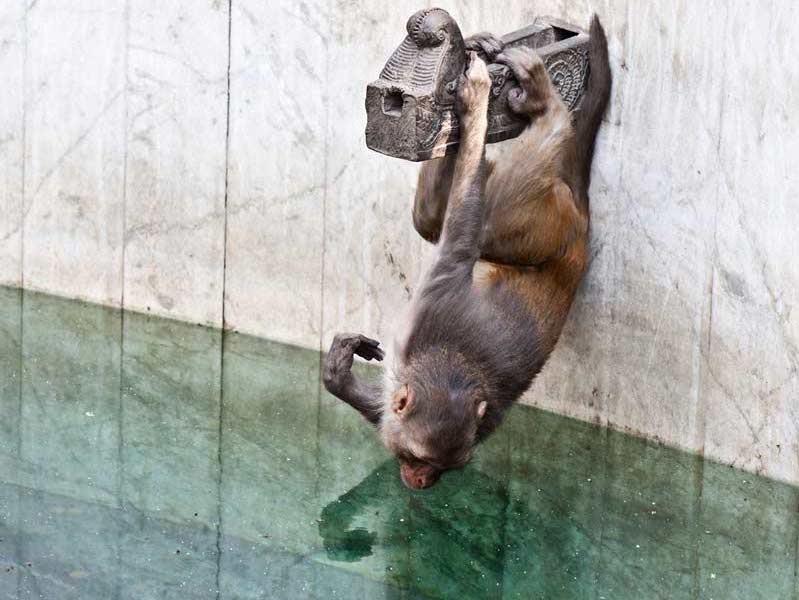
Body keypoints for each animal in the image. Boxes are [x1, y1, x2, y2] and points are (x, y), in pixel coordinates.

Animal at [324, 17, 611, 489]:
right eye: (417, 457)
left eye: (441, 466)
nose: (420, 481)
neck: (455, 366)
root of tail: (579, 232)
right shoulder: (432, 309)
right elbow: (458, 234)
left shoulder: (431, 311)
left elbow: (460, 231)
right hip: (539, 221)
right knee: (442, 218)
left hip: (536, 222)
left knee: (459, 218)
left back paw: (541, 106)